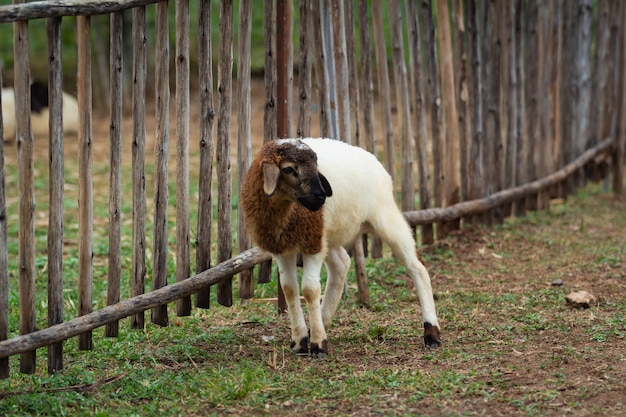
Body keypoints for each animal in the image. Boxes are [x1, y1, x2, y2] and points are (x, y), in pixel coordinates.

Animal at [239, 137, 438, 358]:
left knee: (417, 267)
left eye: (316, 165)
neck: (285, 214)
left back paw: (431, 332)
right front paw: (300, 341)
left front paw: (318, 344)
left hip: (385, 217)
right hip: (331, 234)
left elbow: (309, 289)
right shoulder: (283, 249)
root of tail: (376, 161)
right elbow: (290, 289)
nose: (321, 197)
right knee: (342, 264)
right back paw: (322, 321)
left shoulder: (313, 243)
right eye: (288, 169)